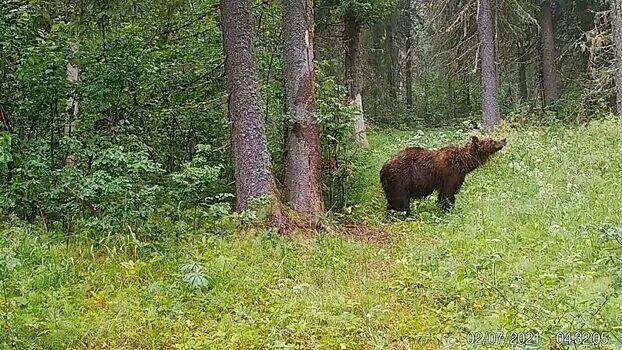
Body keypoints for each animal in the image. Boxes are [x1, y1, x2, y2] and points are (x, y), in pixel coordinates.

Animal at [380, 136, 508, 213]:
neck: (464, 164)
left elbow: (442, 194)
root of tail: (383, 167)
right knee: (400, 199)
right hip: (400, 179)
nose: (504, 140)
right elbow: (448, 194)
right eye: (491, 140)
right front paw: (448, 210)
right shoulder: (450, 174)